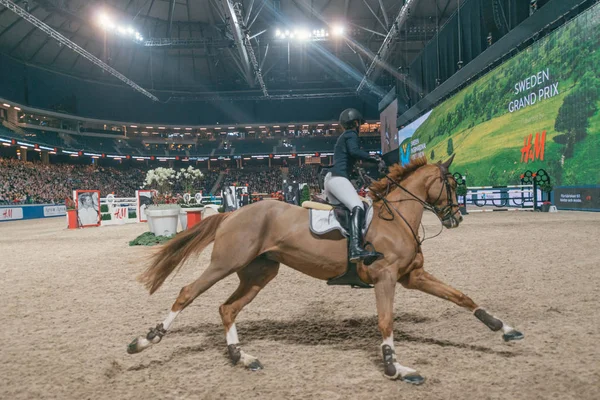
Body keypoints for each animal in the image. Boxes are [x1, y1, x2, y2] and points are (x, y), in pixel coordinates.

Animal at [126, 157, 520, 384]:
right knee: (187, 293)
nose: (455, 218)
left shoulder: (412, 276)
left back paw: (242, 357)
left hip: (259, 273)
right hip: (226, 263)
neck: (396, 217)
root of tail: (231, 213)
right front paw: (395, 368)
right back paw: (145, 340)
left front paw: (505, 329)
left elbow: (461, 296)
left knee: (227, 308)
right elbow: (386, 322)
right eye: (451, 184)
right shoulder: (386, 277)